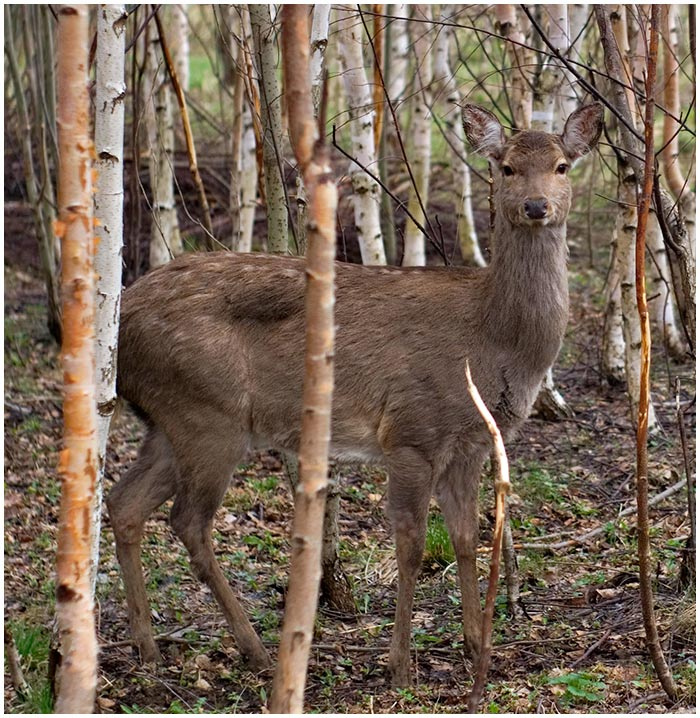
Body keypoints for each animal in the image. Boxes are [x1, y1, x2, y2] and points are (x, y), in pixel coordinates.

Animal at [107, 102, 603, 687]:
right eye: (506, 167)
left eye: (562, 165)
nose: (535, 206)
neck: (490, 343)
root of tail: (120, 324)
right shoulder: (411, 431)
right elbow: (412, 545)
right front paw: (400, 665)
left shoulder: (471, 444)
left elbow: (465, 538)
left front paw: (476, 644)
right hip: (208, 413)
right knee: (188, 522)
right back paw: (255, 650)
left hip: (169, 419)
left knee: (124, 503)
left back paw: (148, 649)